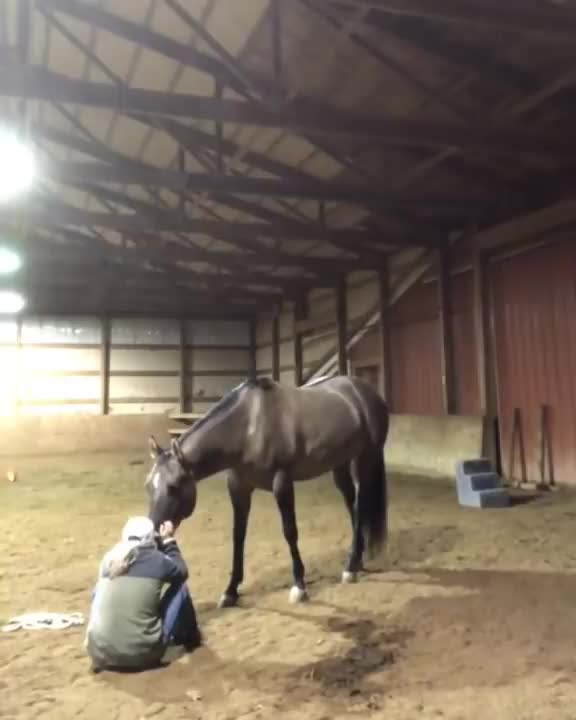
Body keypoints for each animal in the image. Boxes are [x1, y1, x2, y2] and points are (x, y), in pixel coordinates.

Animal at [146, 375, 389, 607]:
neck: (248, 427)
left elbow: (290, 531)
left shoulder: (282, 483)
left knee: (360, 505)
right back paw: (355, 561)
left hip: (365, 458)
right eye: (148, 486)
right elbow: (238, 535)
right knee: (352, 504)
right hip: (339, 464)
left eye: (174, 486)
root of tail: (365, 391)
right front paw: (230, 591)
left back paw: (350, 567)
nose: (153, 536)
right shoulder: (238, 487)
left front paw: (299, 586)